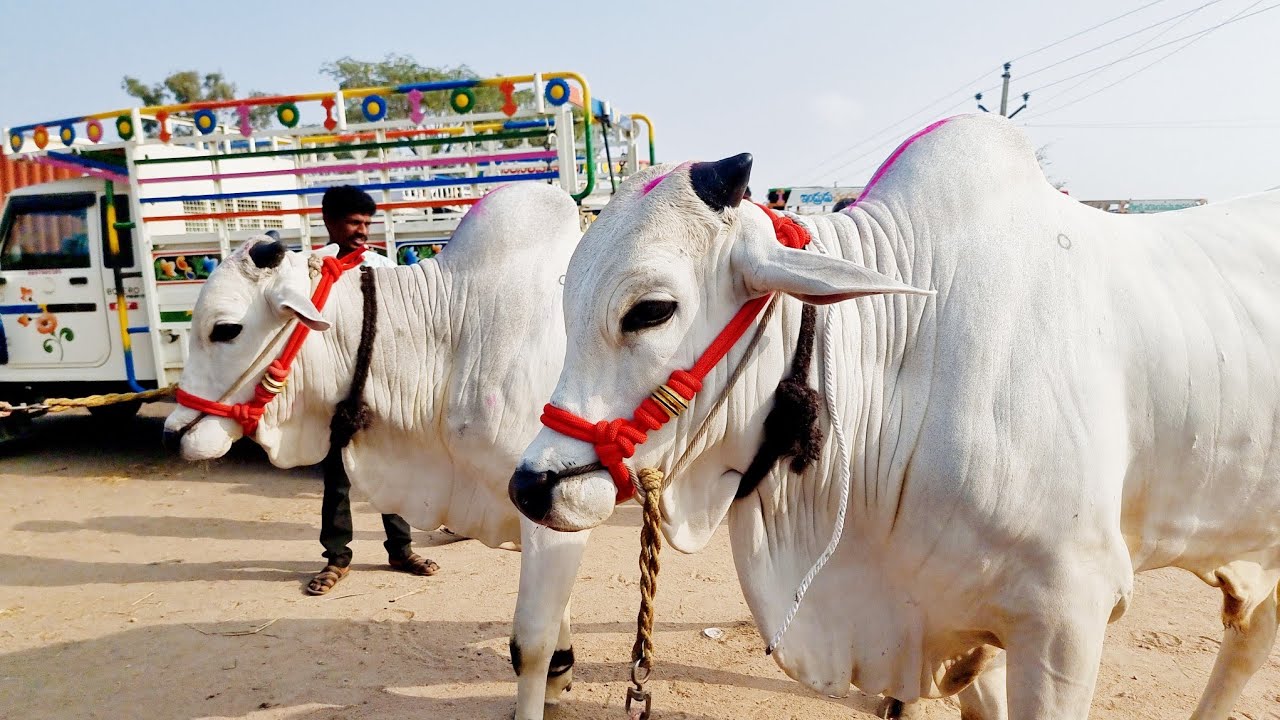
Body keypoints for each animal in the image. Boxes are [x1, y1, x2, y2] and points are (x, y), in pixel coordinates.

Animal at [163, 182, 591, 720]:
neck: (458, 336)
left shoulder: (550, 516)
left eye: (225, 329)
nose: (172, 433)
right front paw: (561, 675)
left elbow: (528, 643)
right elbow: (557, 615)